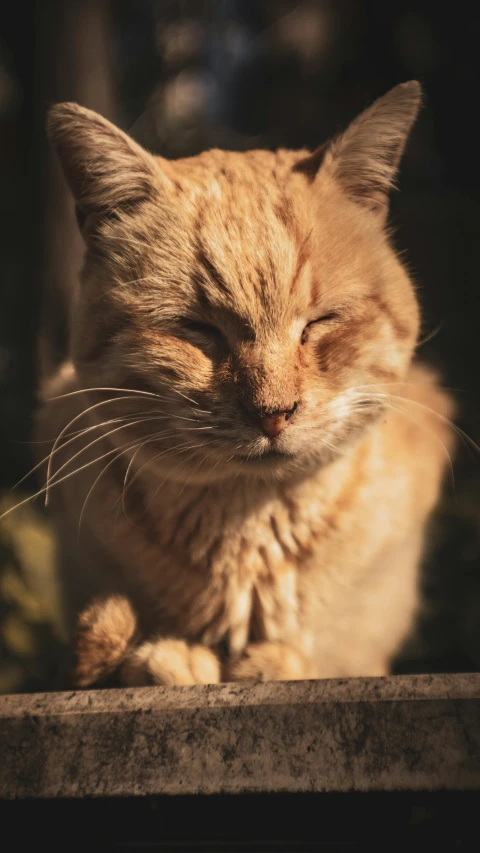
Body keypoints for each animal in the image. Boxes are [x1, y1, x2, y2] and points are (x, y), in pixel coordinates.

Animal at [36, 83, 454, 684]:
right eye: (199, 330)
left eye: (319, 323)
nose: (273, 413)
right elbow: (107, 643)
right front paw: (169, 660)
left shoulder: (368, 651)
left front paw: (272, 663)